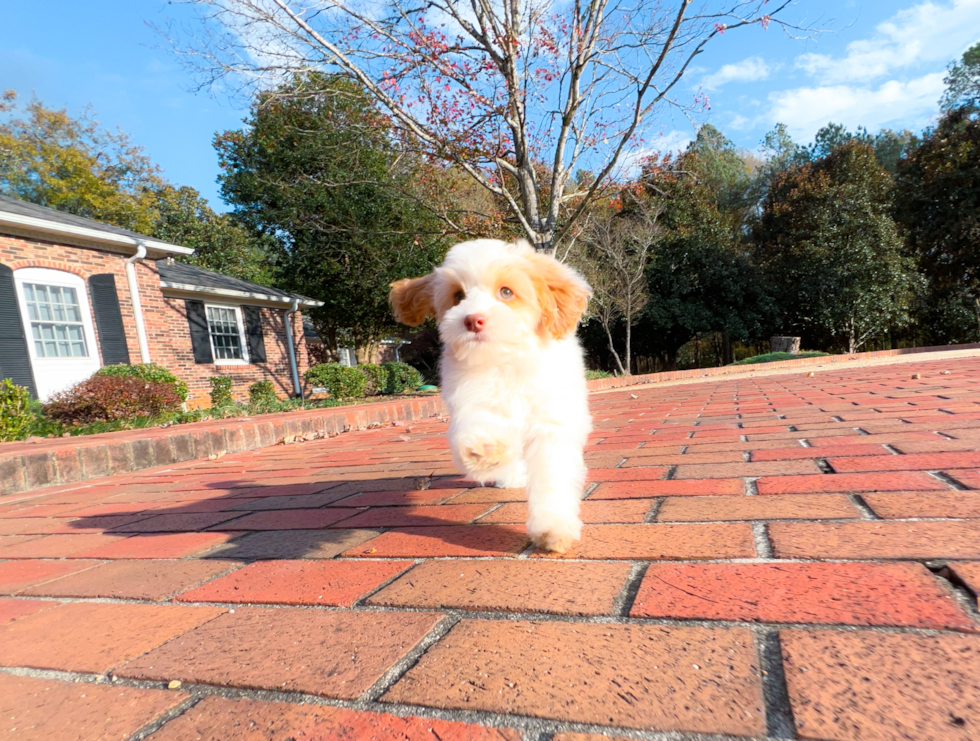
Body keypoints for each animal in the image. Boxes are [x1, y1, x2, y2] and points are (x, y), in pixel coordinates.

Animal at [388, 237, 588, 548]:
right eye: (458, 295)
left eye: (506, 291)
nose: (473, 320)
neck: (504, 359)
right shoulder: (470, 395)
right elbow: (479, 422)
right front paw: (482, 449)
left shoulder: (550, 421)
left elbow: (552, 475)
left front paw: (553, 528)